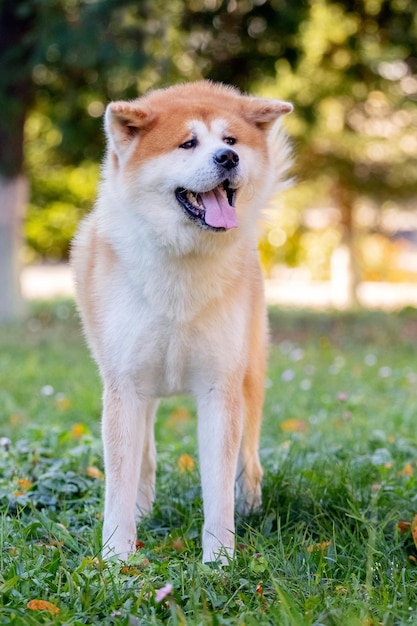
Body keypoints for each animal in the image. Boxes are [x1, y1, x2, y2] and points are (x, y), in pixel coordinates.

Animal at [70, 78, 292, 560]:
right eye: (188, 143)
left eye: (231, 140)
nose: (228, 158)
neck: (181, 270)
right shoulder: (125, 385)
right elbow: (120, 480)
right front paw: (116, 558)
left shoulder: (219, 387)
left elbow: (218, 487)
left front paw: (219, 560)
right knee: (145, 455)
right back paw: (143, 509)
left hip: (250, 377)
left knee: (248, 456)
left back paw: (251, 506)